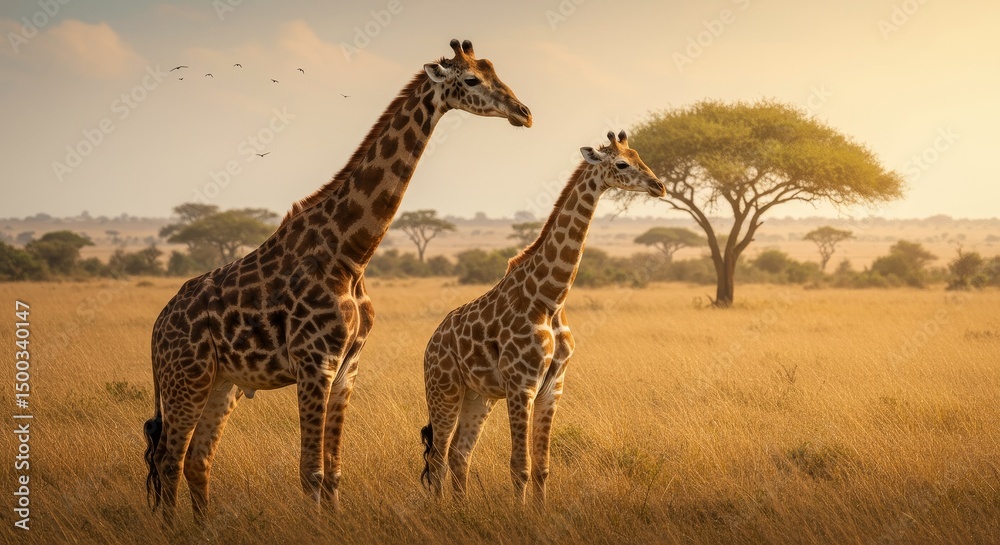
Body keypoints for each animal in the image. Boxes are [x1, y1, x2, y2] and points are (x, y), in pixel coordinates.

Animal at [143, 39, 532, 524]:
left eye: (495, 71)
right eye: (473, 79)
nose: (524, 112)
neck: (350, 256)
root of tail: (157, 328)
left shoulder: (348, 367)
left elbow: (333, 470)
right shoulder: (315, 364)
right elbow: (310, 470)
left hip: (221, 383)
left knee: (197, 458)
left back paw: (204, 528)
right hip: (186, 378)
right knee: (167, 458)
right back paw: (172, 527)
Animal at [420, 131, 665, 505]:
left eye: (640, 156)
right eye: (622, 164)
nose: (658, 186)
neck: (550, 298)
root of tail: (431, 343)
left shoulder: (553, 387)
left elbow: (542, 467)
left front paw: (540, 512)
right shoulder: (522, 385)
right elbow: (519, 466)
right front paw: (520, 515)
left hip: (478, 396)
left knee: (460, 453)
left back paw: (461, 510)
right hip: (443, 388)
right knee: (437, 458)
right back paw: (441, 512)